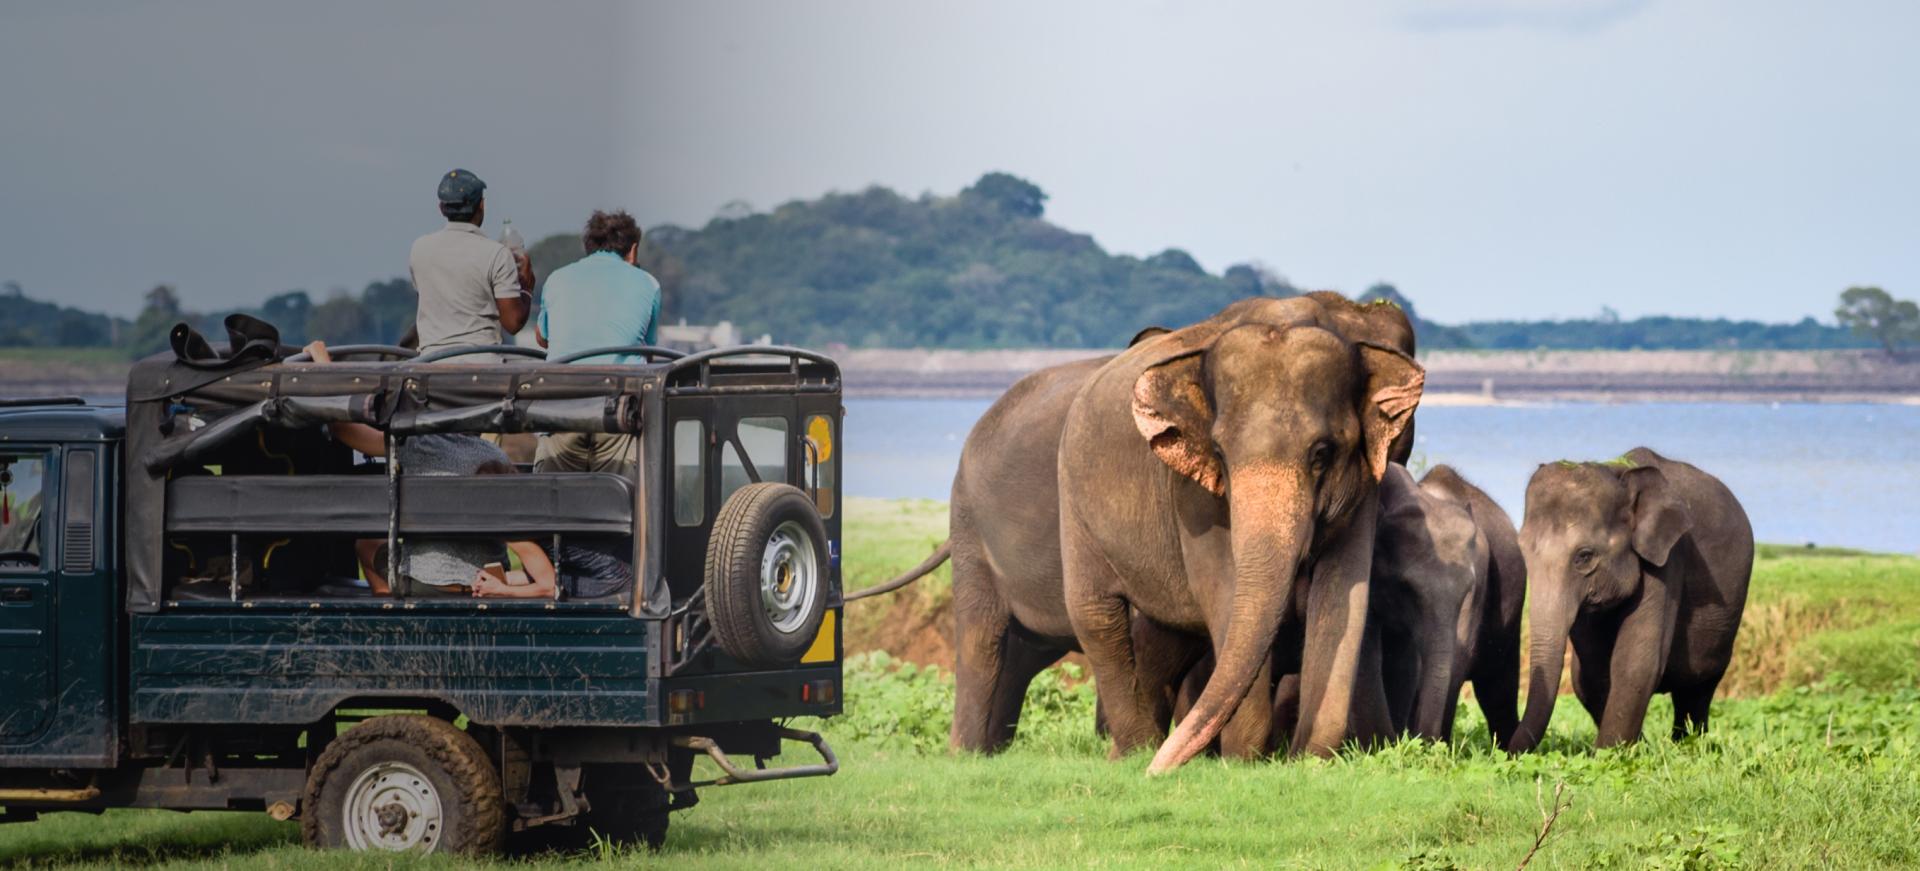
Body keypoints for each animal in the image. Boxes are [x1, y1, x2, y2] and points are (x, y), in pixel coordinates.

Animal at [1059, 303, 1420, 771]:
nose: (1160, 773)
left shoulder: (1364, 489)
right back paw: (1137, 753)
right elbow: (1226, 595)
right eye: (1219, 453)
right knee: (1096, 615)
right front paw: (1244, 762)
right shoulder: (1193, 495)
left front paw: (1306, 760)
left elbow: (1344, 597)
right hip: (1073, 504)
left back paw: (1133, 754)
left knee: (1162, 636)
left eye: (1321, 454)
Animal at [1505, 445, 1758, 752]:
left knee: (1698, 689)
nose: (1504, 752)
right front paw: (1631, 750)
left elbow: (1635, 662)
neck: (1619, 473)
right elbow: (1591, 673)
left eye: (1584, 556)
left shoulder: (1668, 557)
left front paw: (1608, 755)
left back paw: (1686, 746)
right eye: (1523, 551)